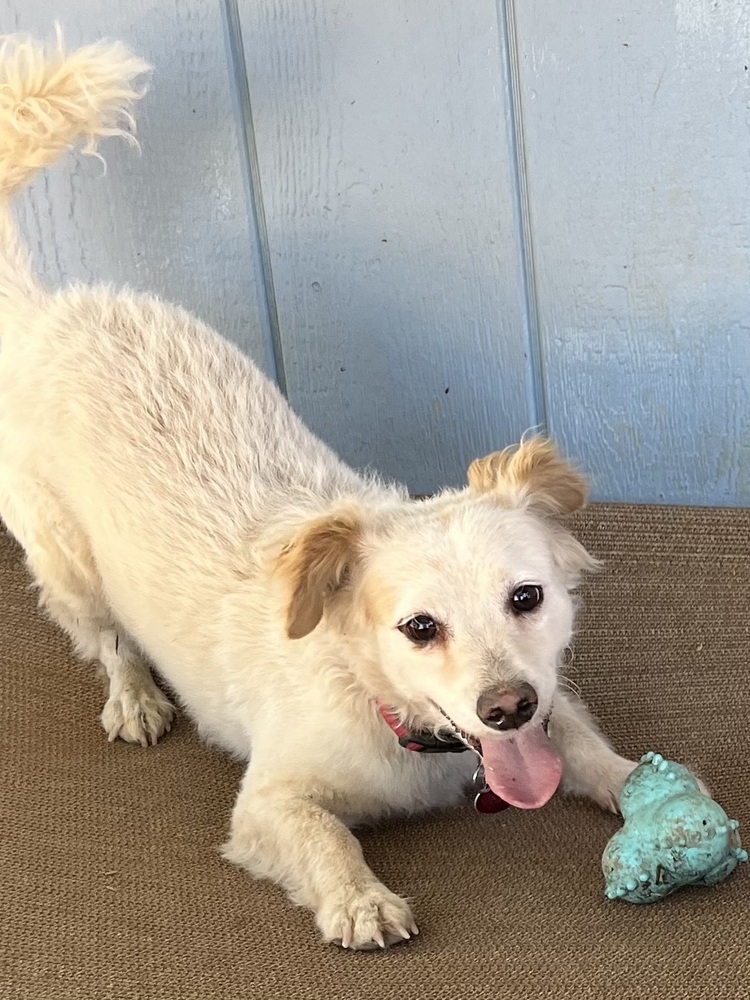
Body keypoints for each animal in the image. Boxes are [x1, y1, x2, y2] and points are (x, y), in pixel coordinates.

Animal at [0, 35, 640, 948]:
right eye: (418, 628)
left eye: (527, 597)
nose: (507, 708)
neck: (395, 718)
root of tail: (48, 312)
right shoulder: (267, 804)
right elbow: (323, 835)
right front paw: (359, 899)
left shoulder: (553, 703)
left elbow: (585, 745)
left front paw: (637, 780)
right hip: (66, 564)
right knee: (106, 639)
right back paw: (134, 699)